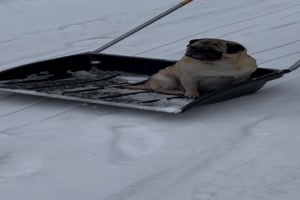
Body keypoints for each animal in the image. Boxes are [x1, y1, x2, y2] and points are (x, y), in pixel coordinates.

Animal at [123, 38, 256, 98]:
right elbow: (191, 87)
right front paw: (192, 94)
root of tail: (150, 82)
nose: (197, 50)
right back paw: (176, 91)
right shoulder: (189, 77)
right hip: (168, 79)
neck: (219, 66)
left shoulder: (241, 77)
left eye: (214, 51)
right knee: (159, 90)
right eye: (192, 47)